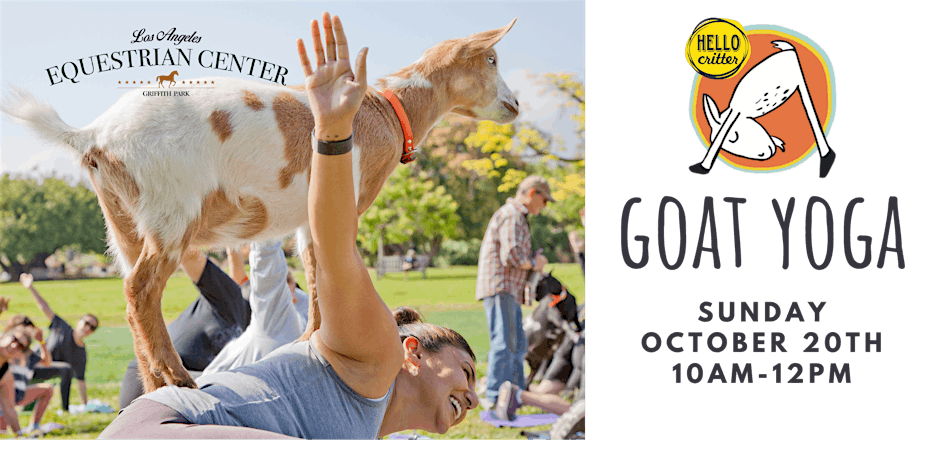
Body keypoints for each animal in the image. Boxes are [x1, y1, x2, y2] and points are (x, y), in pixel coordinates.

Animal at [0, 18, 516, 392]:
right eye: (492, 58)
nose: (514, 105)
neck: (384, 109)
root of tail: (92, 135)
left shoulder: (308, 219)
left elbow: (316, 274)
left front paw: (312, 342)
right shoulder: (344, 204)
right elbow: (333, 270)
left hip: (122, 218)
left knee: (132, 295)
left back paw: (154, 385)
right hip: (172, 211)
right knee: (140, 290)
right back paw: (180, 379)